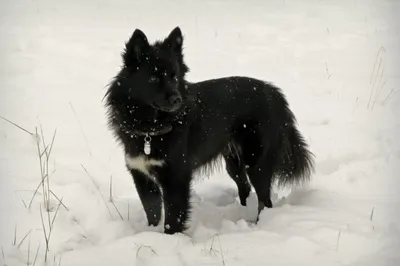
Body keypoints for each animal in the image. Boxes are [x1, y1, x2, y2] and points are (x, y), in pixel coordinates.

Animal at [104, 27, 316, 234]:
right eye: (154, 77)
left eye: (174, 76)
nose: (177, 99)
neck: (149, 127)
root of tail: (275, 94)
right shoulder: (141, 176)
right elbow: (152, 213)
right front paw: (150, 234)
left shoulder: (176, 178)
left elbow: (172, 220)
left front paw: (170, 239)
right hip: (234, 162)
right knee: (245, 188)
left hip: (257, 162)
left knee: (265, 201)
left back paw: (257, 227)